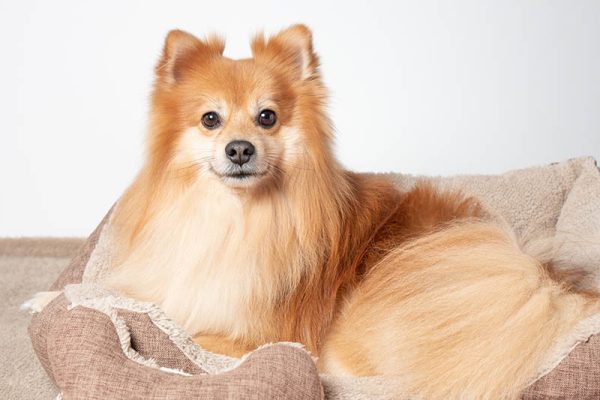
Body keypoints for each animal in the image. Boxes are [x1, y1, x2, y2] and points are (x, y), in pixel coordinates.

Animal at [94, 25, 600, 400]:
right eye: (210, 120)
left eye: (267, 117)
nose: (239, 149)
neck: (237, 218)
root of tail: (542, 276)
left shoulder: (255, 334)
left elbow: (194, 334)